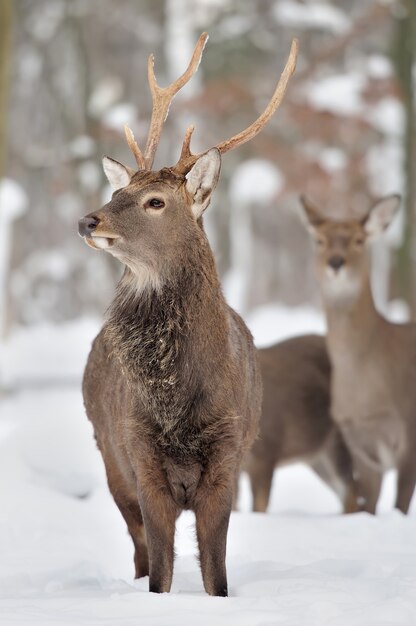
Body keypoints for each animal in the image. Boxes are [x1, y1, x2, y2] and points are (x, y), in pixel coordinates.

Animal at [78, 30, 298, 596]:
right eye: (117, 190)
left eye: (155, 201)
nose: (89, 220)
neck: (177, 402)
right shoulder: (138, 453)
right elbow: (159, 572)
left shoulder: (229, 455)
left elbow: (216, 574)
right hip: (107, 454)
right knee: (136, 552)